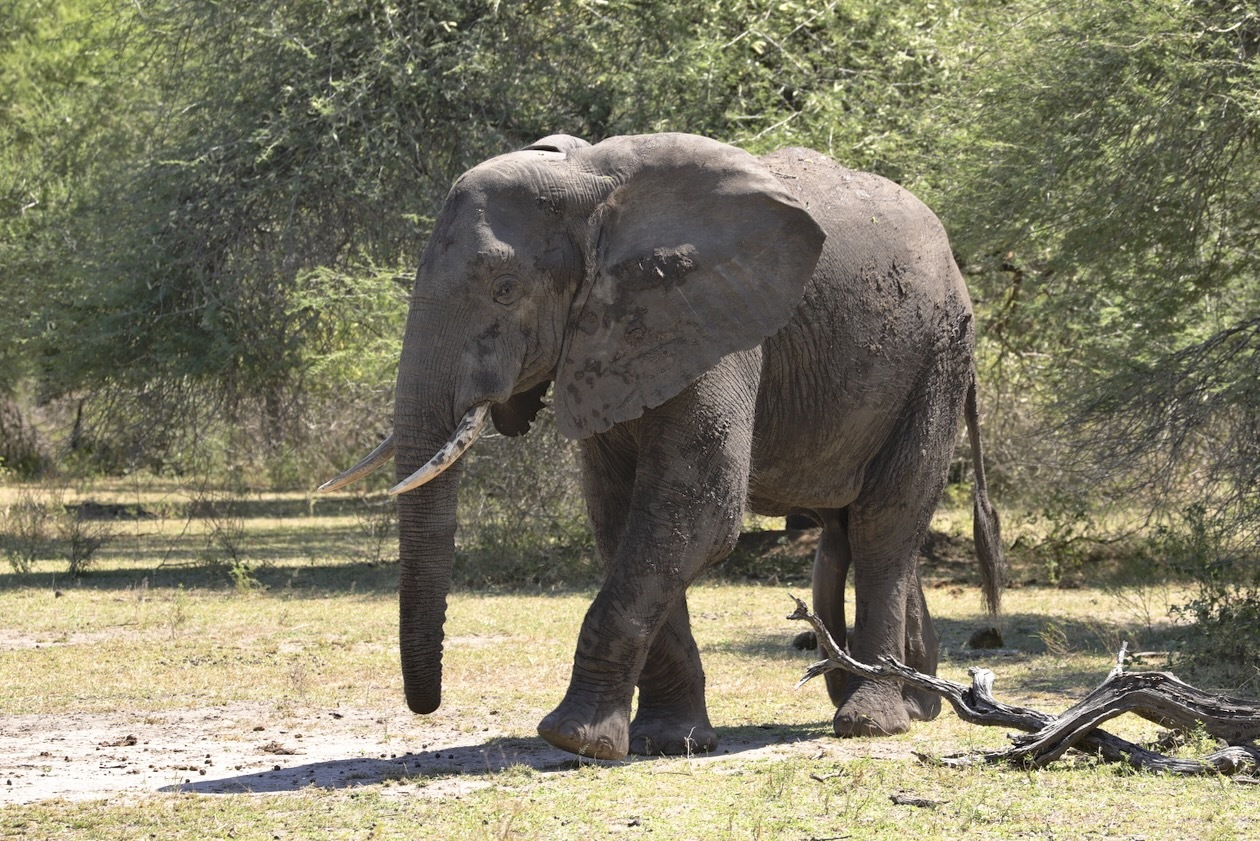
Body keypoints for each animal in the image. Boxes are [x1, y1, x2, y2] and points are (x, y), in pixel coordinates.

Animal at [322, 131, 1002, 761]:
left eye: (506, 289)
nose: (426, 706)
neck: (591, 186)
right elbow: (622, 518)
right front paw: (668, 740)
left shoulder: (712, 319)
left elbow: (696, 512)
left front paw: (574, 740)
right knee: (847, 531)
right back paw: (914, 704)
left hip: (939, 356)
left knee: (885, 522)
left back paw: (872, 720)